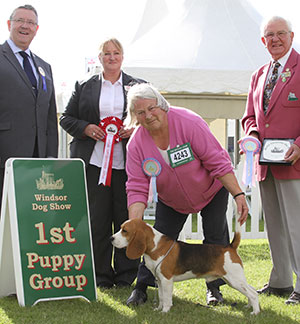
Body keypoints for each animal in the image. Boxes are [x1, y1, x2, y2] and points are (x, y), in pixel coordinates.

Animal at [111, 218, 258, 314]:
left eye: (125, 231)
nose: (111, 238)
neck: (155, 246)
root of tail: (230, 247)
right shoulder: (159, 280)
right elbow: (161, 297)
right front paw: (158, 309)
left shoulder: (166, 280)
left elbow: (167, 298)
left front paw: (164, 312)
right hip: (235, 280)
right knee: (252, 290)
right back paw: (248, 306)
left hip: (235, 280)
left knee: (253, 294)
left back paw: (255, 312)